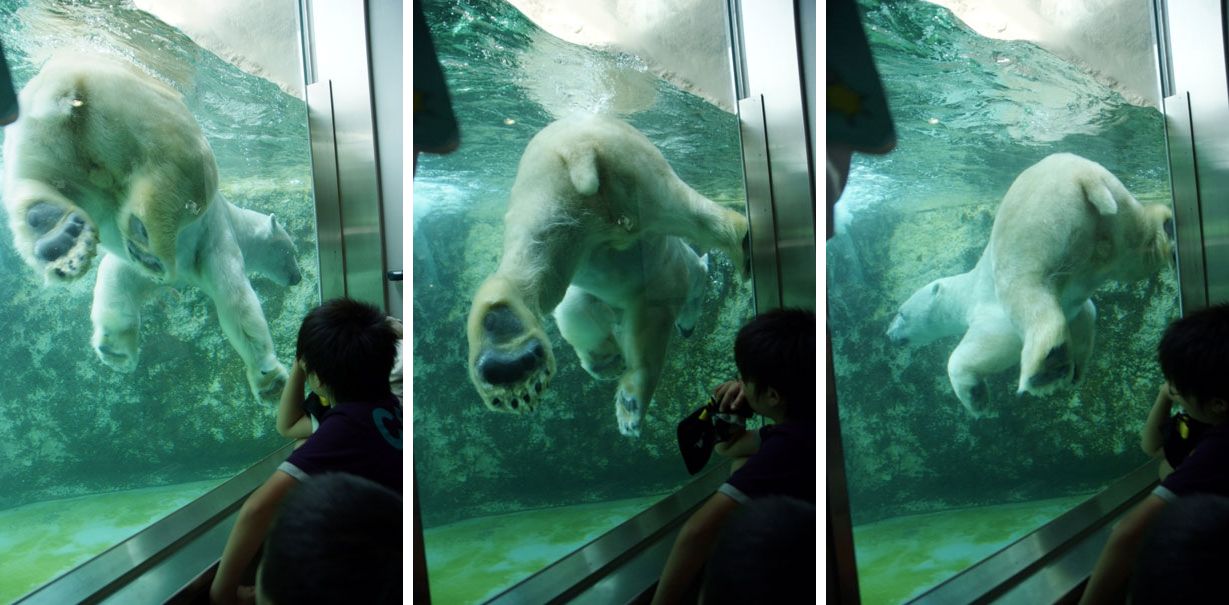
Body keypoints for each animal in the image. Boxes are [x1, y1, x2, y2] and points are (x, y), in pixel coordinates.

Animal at [2, 54, 298, 403]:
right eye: (291, 250)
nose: (298, 277)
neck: (237, 222)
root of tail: (73, 77)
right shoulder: (216, 240)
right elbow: (237, 304)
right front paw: (271, 378)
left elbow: (118, 276)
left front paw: (115, 350)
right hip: (150, 114)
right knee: (183, 171)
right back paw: (147, 232)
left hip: (43, 138)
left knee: (35, 182)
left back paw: (58, 237)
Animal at [462, 112, 742, 435]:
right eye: (700, 301)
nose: (688, 331)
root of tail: (579, 146)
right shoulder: (665, 281)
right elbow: (647, 328)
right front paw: (630, 406)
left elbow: (575, 309)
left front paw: (604, 360)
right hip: (640, 168)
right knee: (687, 210)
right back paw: (740, 236)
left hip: (545, 188)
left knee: (537, 259)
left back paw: (508, 355)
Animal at [889, 152, 1165, 415]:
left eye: (901, 313)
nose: (888, 334)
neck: (965, 290)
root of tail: (1084, 175)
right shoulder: (1077, 306)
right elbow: (1086, 316)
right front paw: (1077, 371)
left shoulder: (988, 311)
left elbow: (989, 345)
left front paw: (976, 398)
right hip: (1116, 206)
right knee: (1135, 251)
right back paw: (1166, 231)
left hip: (1035, 229)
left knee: (1026, 290)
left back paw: (1044, 371)